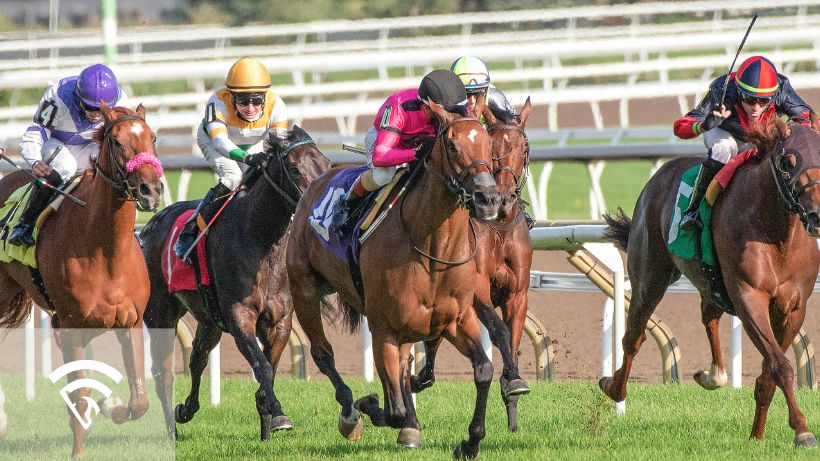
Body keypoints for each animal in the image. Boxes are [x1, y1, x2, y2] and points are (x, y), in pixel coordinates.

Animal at [0, 103, 163, 458]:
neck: (104, 250)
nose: (151, 190)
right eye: (116, 141)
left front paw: (112, 405)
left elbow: (139, 401)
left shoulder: (130, 322)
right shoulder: (70, 327)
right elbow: (79, 392)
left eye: (153, 137)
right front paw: (78, 451)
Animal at [140, 126, 331, 440]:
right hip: (160, 312)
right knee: (162, 372)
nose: (316, 205)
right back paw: (171, 429)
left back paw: (186, 409)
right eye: (293, 168)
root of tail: (149, 226)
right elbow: (262, 367)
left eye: (327, 163)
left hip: (208, 318)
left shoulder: (279, 320)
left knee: (197, 358)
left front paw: (269, 423)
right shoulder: (239, 316)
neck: (260, 238)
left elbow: (269, 368)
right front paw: (276, 413)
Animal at [287, 98, 501, 458]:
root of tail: (315, 183)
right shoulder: (383, 326)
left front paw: (470, 442)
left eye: (487, 142)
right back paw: (351, 413)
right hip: (304, 290)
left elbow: (483, 370)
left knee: (401, 364)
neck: (430, 245)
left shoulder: (454, 318)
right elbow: (394, 409)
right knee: (323, 352)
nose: (488, 198)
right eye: (452, 146)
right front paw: (372, 407)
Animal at [410, 98, 534, 433]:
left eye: (523, 147)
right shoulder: (475, 288)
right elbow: (499, 330)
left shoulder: (518, 292)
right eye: (493, 145)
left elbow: (513, 337)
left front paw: (513, 389)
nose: (502, 199)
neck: (499, 228)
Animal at [600, 118, 820, 447]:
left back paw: (713, 375)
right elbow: (780, 365)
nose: (817, 216)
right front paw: (802, 430)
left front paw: (757, 435)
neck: (777, 234)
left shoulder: (794, 307)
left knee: (708, 316)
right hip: (649, 276)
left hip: (710, 284)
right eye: (787, 162)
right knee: (634, 336)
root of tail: (660, 175)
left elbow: (769, 372)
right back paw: (613, 387)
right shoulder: (748, 296)